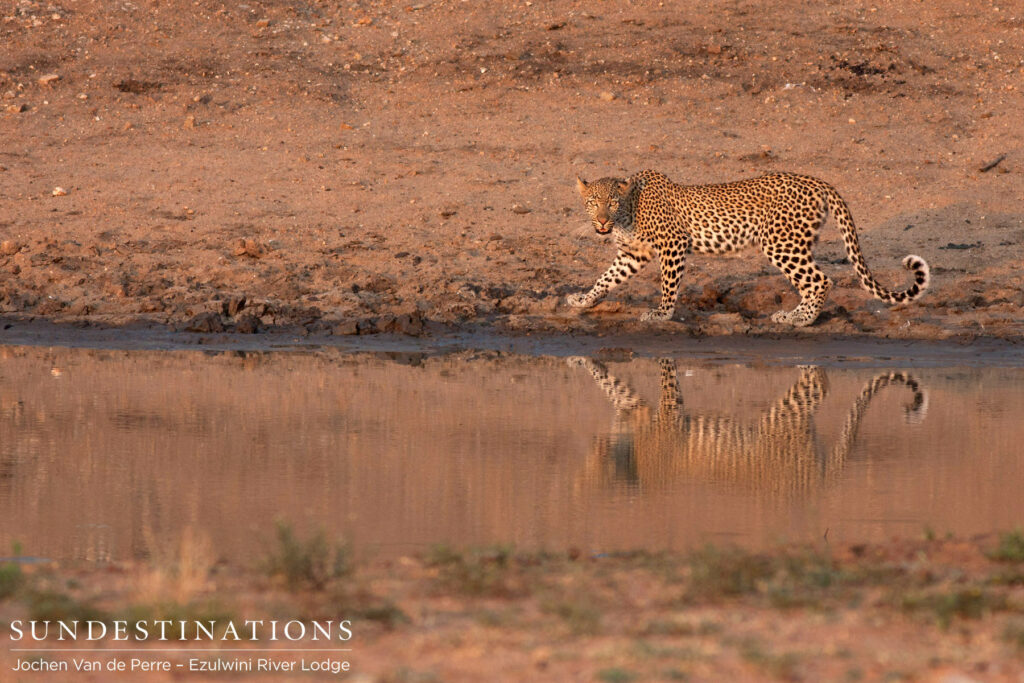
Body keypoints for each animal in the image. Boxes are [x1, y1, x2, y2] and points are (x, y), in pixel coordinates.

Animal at [567, 170, 931, 327]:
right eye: (592, 203)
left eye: (612, 202)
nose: (602, 222)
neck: (628, 213)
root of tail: (816, 181)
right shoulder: (633, 254)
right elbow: (606, 278)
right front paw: (584, 300)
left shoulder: (673, 244)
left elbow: (668, 285)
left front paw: (662, 313)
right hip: (795, 242)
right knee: (813, 280)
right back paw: (794, 314)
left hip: (780, 242)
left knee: (821, 280)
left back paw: (802, 320)